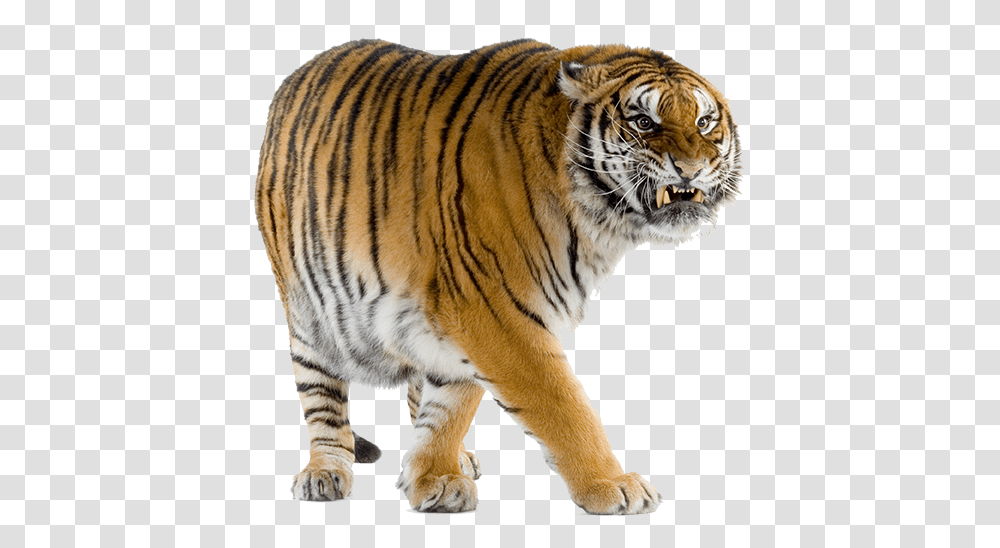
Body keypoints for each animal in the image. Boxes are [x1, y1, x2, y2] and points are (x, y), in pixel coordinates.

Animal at [254, 38, 741, 514]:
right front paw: (612, 485)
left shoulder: (460, 317)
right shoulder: (494, 310)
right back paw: (324, 473)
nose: (692, 168)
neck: (596, 224)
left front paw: (434, 476)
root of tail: (301, 72)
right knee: (323, 400)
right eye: (643, 121)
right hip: (309, 316)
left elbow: (450, 406)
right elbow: (562, 405)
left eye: (703, 122)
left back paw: (457, 459)